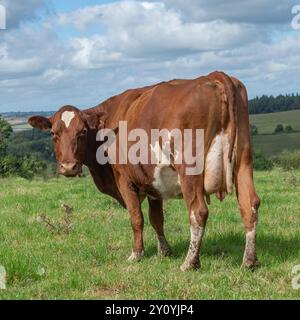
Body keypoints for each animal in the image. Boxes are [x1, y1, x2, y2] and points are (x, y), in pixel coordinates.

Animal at [28, 72, 260, 270]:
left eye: (82, 131)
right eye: (53, 133)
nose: (68, 167)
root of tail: (214, 76)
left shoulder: (124, 180)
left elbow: (136, 218)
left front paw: (136, 254)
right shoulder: (152, 182)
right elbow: (156, 218)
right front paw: (164, 251)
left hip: (189, 170)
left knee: (198, 212)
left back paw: (189, 263)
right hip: (243, 161)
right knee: (249, 205)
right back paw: (249, 261)